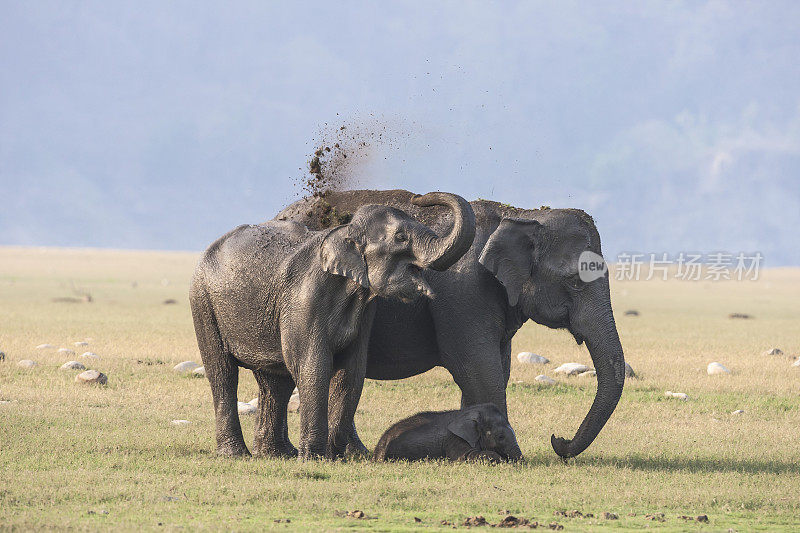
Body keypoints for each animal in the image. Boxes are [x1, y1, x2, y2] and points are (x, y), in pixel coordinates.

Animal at [191, 191, 476, 458]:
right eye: (400, 238)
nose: (419, 198)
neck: (344, 232)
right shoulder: (304, 298)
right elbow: (313, 365)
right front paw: (313, 458)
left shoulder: (366, 310)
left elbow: (351, 371)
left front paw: (333, 457)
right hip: (202, 302)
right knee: (222, 373)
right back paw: (236, 454)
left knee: (275, 382)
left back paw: (276, 454)